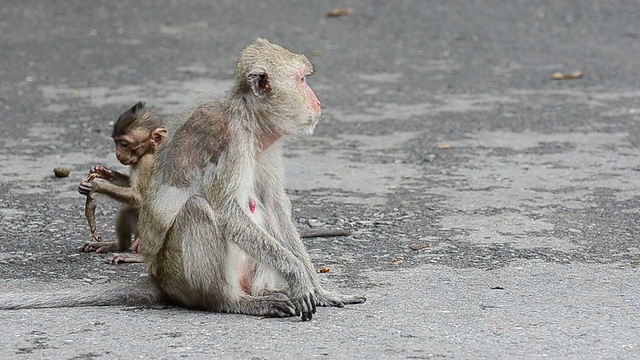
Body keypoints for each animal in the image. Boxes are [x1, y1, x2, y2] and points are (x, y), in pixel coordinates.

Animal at [78, 102, 169, 262]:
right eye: (116, 142)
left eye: (124, 144)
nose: (118, 154)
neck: (149, 151)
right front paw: (104, 172)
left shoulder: (145, 163)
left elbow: (138, 197)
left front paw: (97, 185)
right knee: (126, 209)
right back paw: (118, 245)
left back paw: (138, 257)